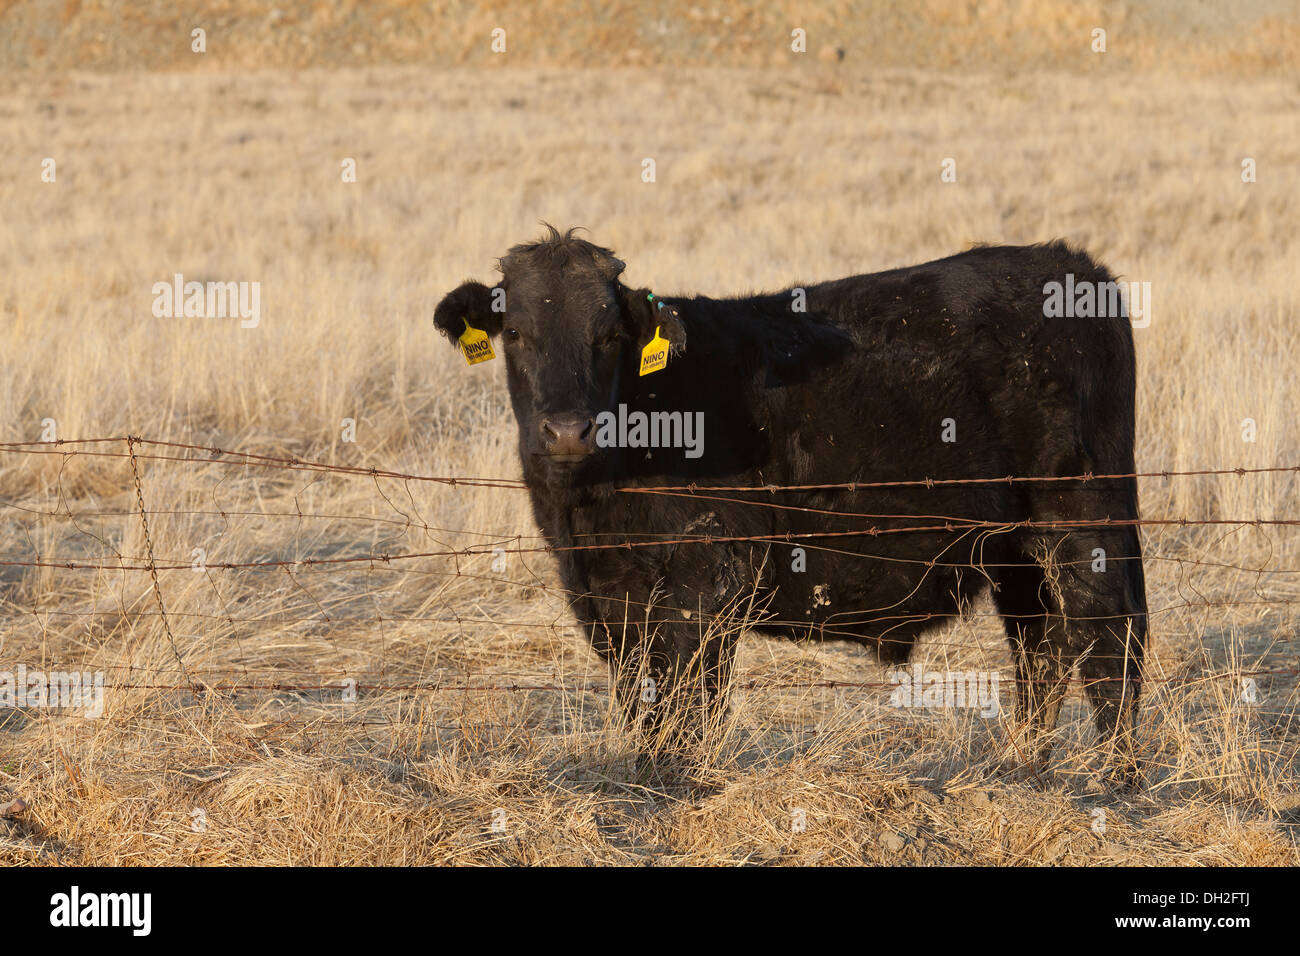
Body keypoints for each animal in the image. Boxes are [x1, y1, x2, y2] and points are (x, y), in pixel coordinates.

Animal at [433, 225, 1148, 786]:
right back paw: (1023, 769)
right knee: (1041, 651)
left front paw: (679, 784)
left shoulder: (706, 584)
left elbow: (689, 702)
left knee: (1109, 645)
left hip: (1084, 518)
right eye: (515, 332)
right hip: (1017, 551)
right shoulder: (614, 600)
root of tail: (1074, 266)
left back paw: (1116, 779)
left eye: (609, 335)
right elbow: (644, 702)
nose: (567, 431)